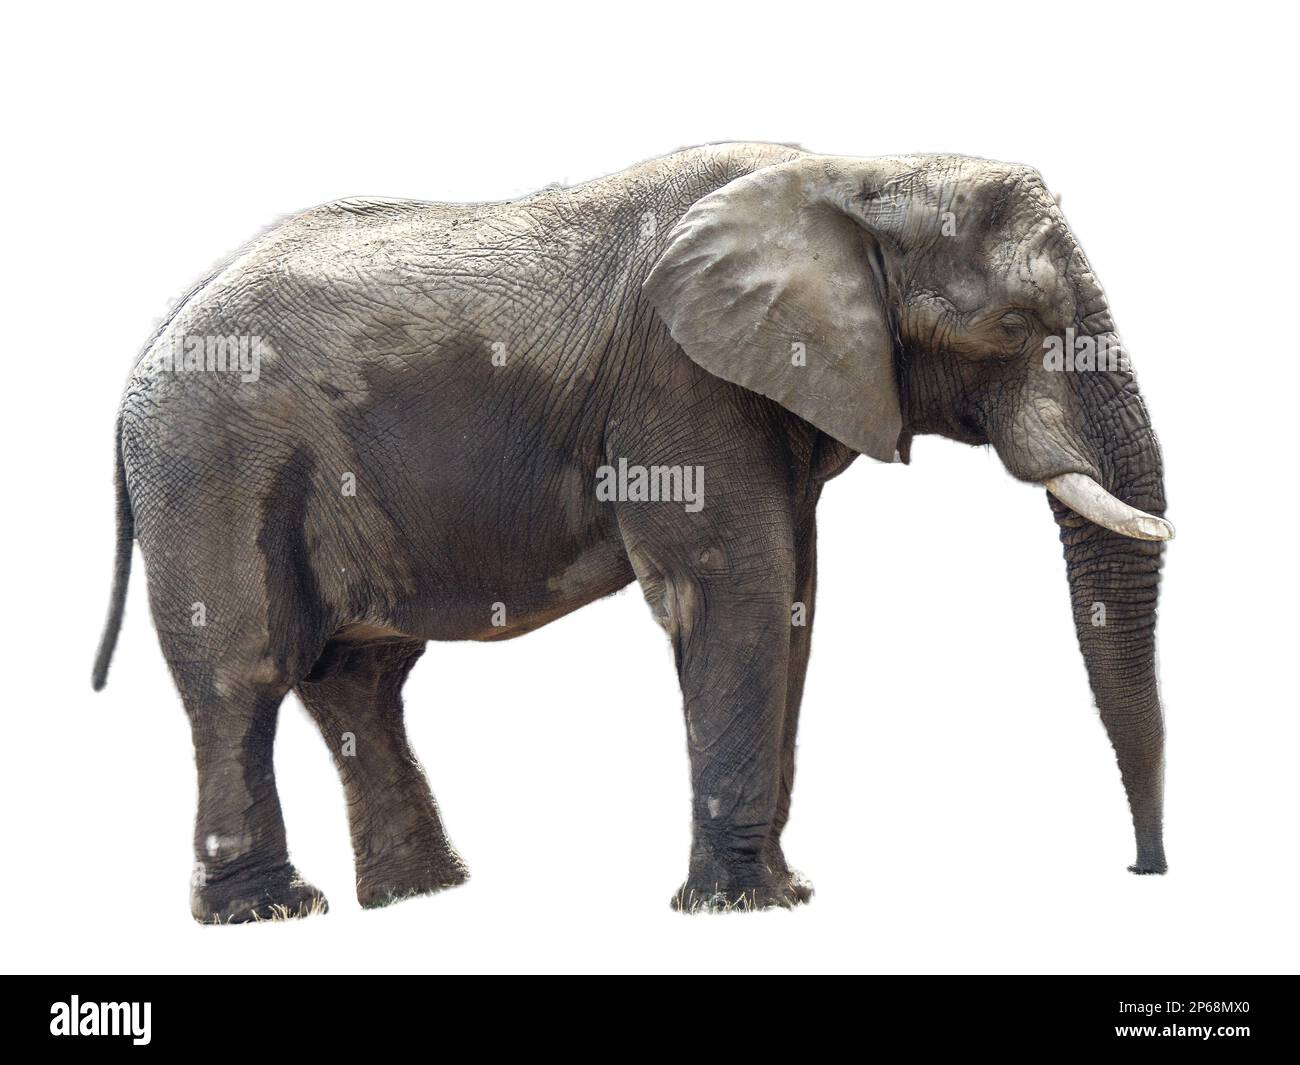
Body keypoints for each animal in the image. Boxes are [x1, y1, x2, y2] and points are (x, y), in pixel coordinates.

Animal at [92, 142, 1173, 921]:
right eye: (1016, 325)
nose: (1144, 872)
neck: (856, 171)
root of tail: (148, 343)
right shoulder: (682, 384)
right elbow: (736, 590)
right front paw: (746, 909)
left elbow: (793, 599)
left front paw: (782, 891)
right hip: (211, 464)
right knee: (243, 674)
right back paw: (273, 914)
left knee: (359, 677)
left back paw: (420, 895)